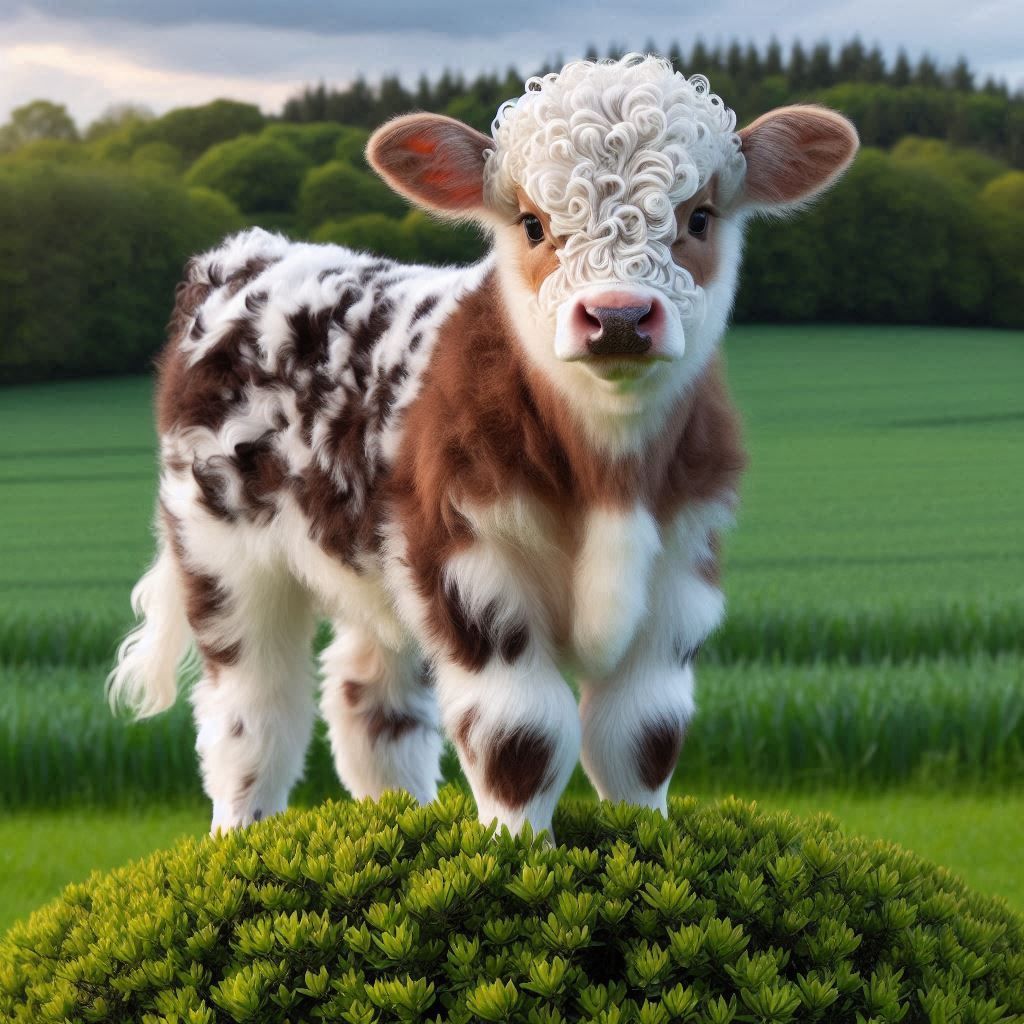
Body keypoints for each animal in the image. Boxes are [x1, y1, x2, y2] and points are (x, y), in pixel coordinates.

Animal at [109, 54, 858, 837]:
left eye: (700, 216)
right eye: (532, 222)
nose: (619, 317)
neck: (608, 475)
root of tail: (250, 254)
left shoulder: (683, 567)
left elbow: (641, 736)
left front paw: (647, 841)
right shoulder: (469, 568)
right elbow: (522, 737)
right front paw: (517, 848)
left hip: (371, 565)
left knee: (368, 694)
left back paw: (401, 813)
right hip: (221, 550)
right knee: (253, 712)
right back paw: (242, 829)